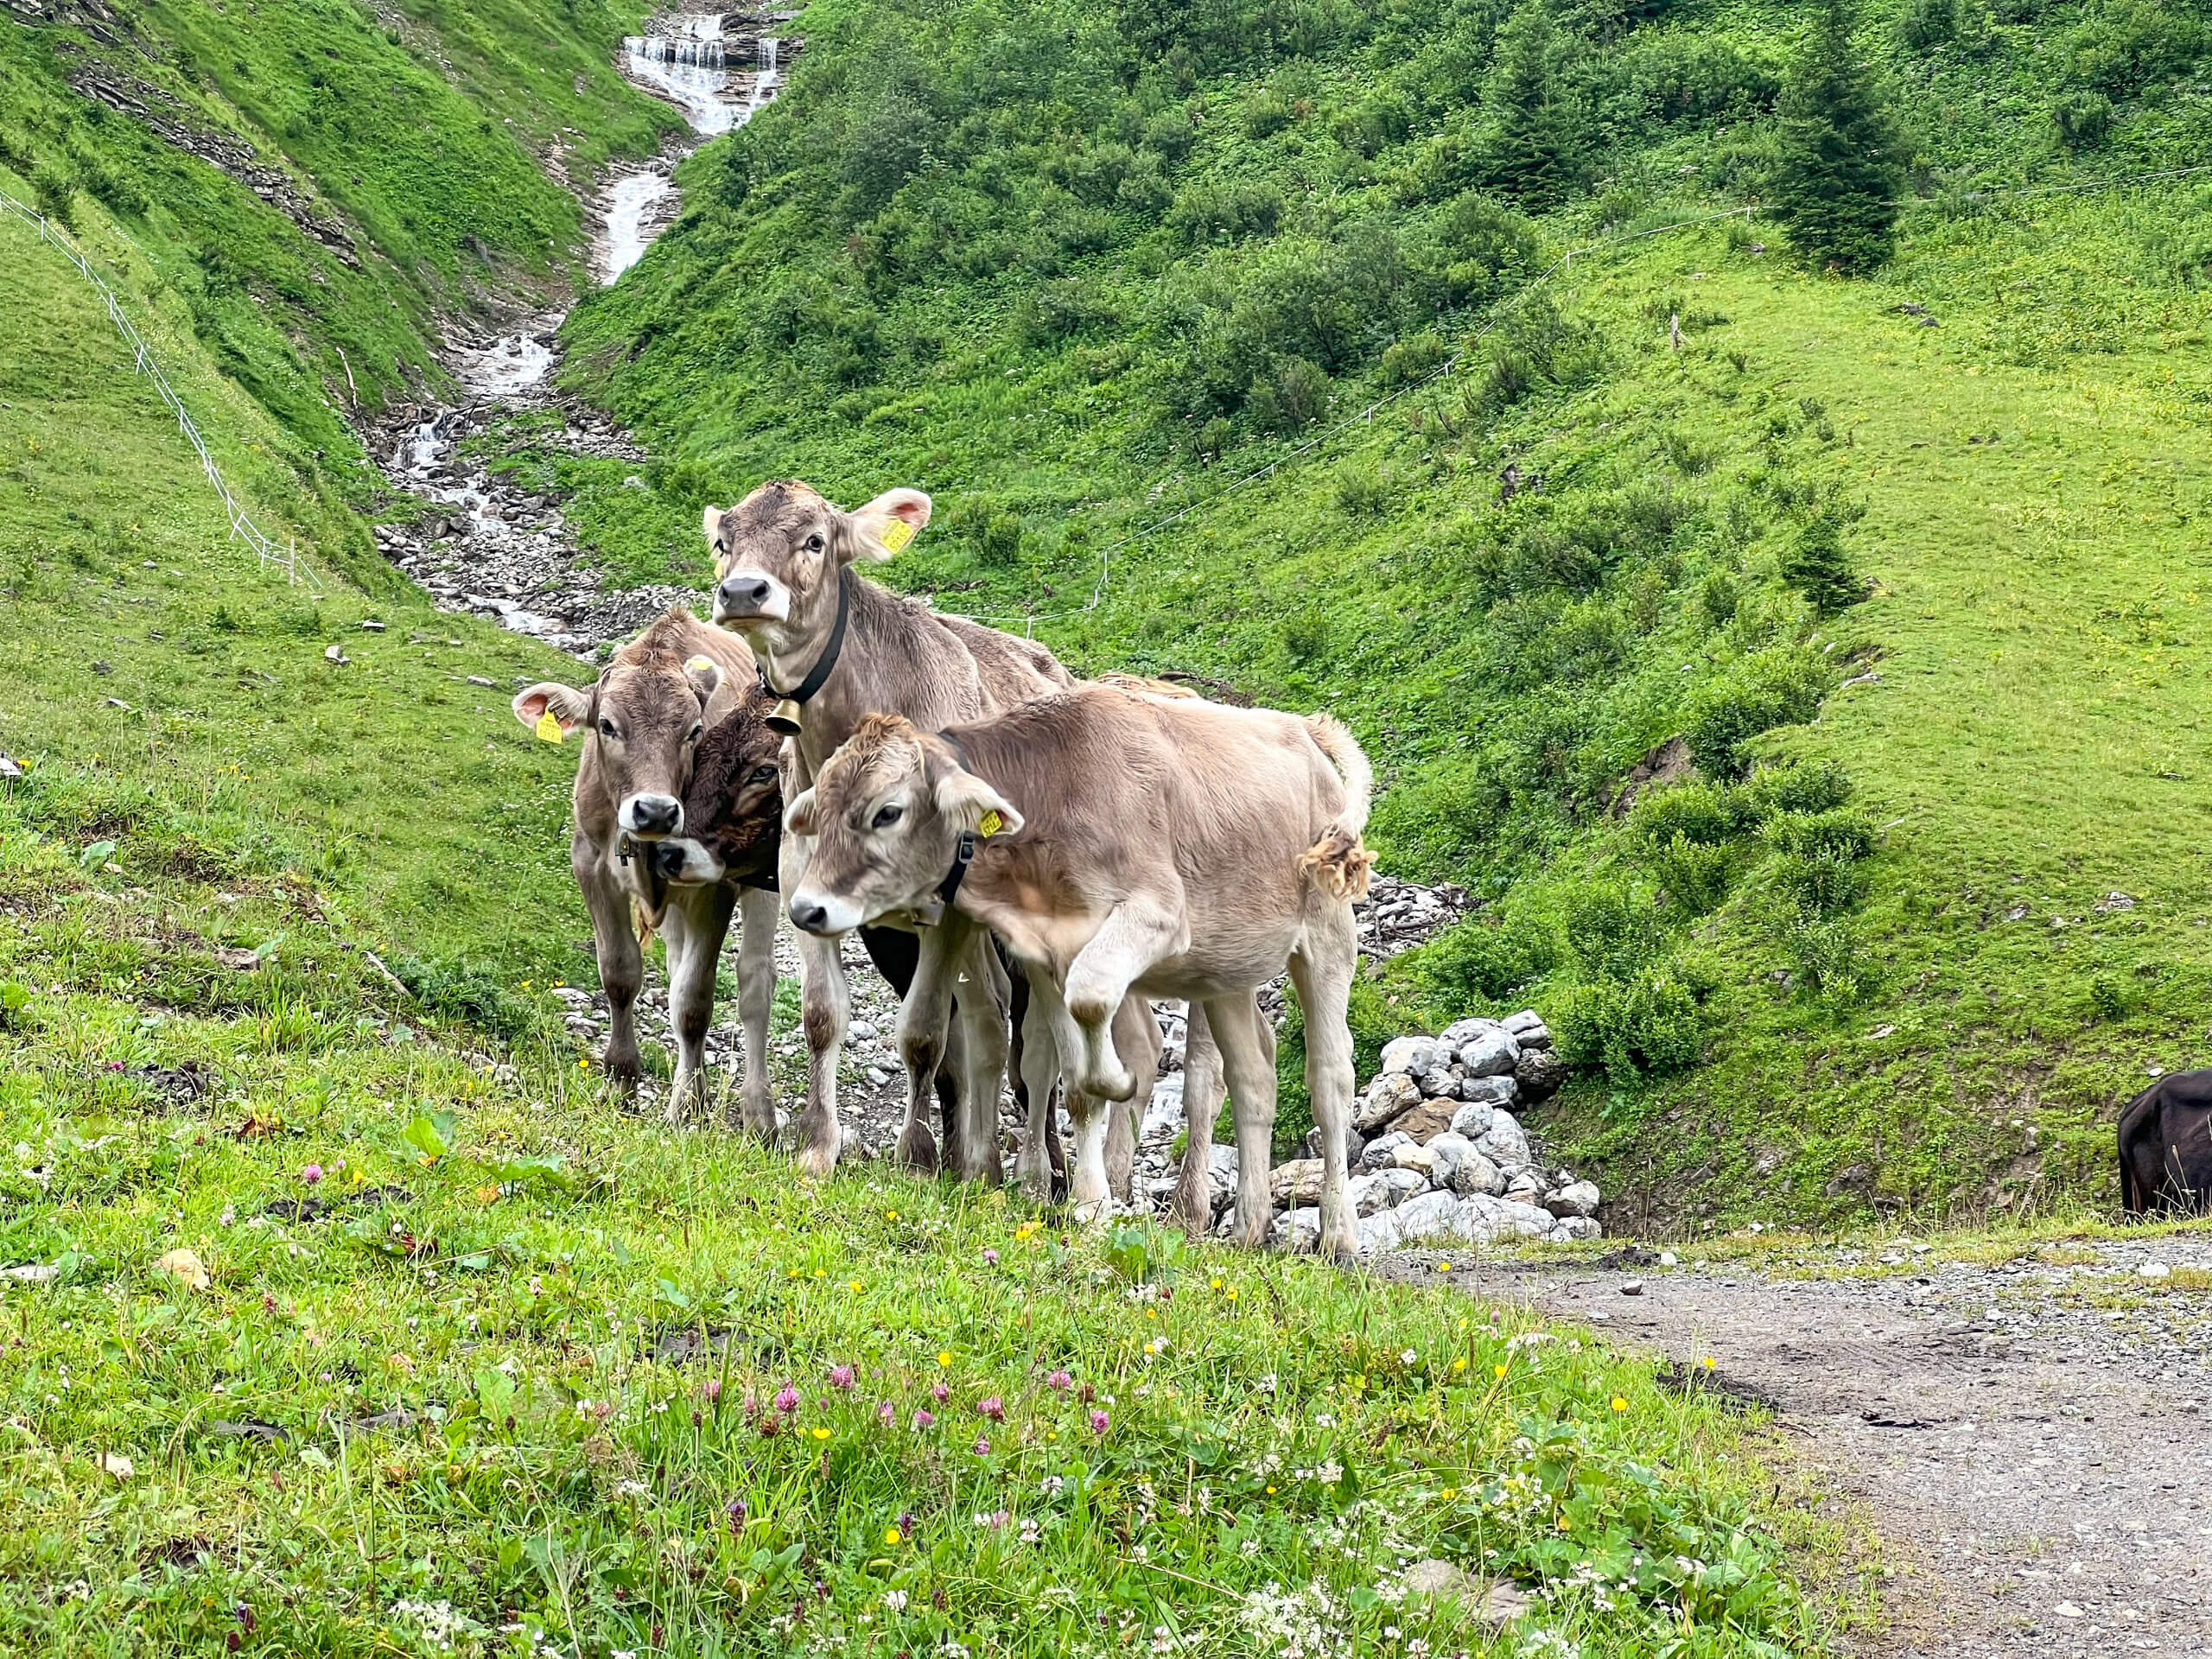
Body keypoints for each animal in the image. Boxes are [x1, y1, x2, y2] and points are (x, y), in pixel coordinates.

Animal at [508, 606, 779, 1132]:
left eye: (694, 731)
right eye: (607, 726)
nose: (655, 811)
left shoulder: (712, 886)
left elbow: (693, 1000)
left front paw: (686, 1107)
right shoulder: (589, 863)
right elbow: (620, 972)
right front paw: (621, 1079)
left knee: (754, 982)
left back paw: (759, 1115)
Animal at [779, 694, 1362, 1256]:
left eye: (888, 812)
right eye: (821, 805)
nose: (807, 909)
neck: (1054, 791)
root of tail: (1304, 729)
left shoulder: (1156, 914)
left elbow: (1091, 997)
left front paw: (1116, 1090)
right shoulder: (1047, 953)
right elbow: (1077, 1079)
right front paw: (1091, 1201)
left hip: (1328, 933)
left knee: (1330, 1080)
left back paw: (1339, 1236)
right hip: (1223, 970)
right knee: (1252, 1077)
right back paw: (1248, 1228)